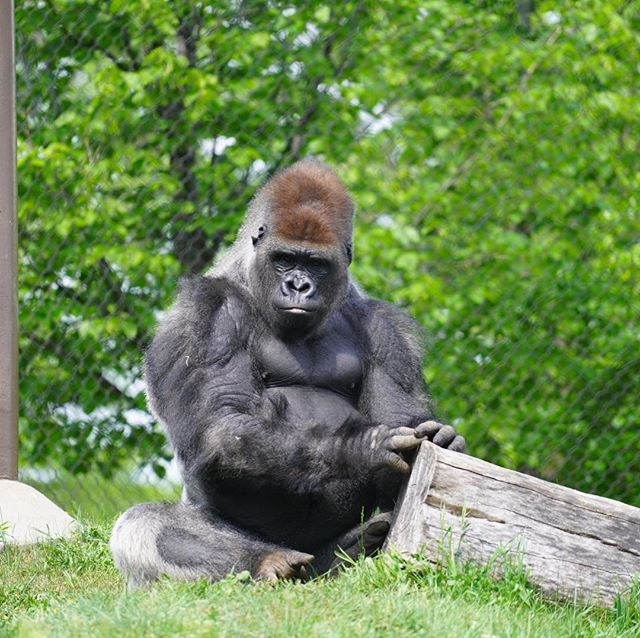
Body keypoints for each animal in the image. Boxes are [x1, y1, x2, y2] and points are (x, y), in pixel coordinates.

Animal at [110, 159, 464, 589]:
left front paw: (444, 439)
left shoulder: (387, 332)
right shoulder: (208, 314)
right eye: (284, 258)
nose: (298, 285)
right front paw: (359, 447)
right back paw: (268, 560)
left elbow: (400, 419)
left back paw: (350, 549)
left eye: (316, 264)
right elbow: (224, 426)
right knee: (143, 525)